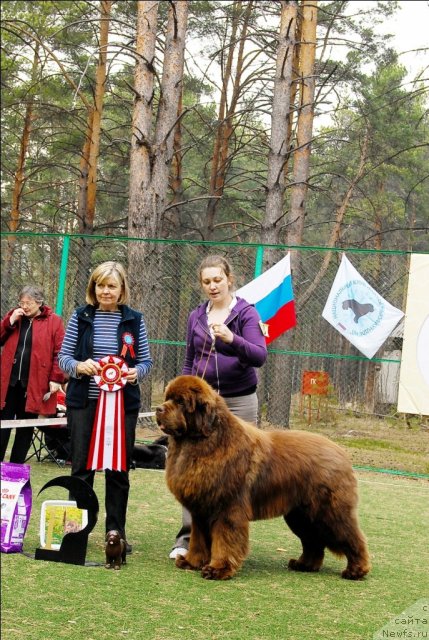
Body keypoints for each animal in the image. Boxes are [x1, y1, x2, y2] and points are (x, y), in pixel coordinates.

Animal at [155, 376, 370, 580]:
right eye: (168, 398)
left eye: (180, 402)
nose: (158, 409)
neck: (205, 442)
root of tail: (341, 452)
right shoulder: (201, 510)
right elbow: (198, 540)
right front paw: (191, 562)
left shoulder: (227, 508)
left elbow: (224, 539)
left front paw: (218, 569)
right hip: (300, 516)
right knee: (313, 541)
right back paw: (304, 565)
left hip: (328, 512)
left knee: (352, 537)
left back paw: (356, 570)